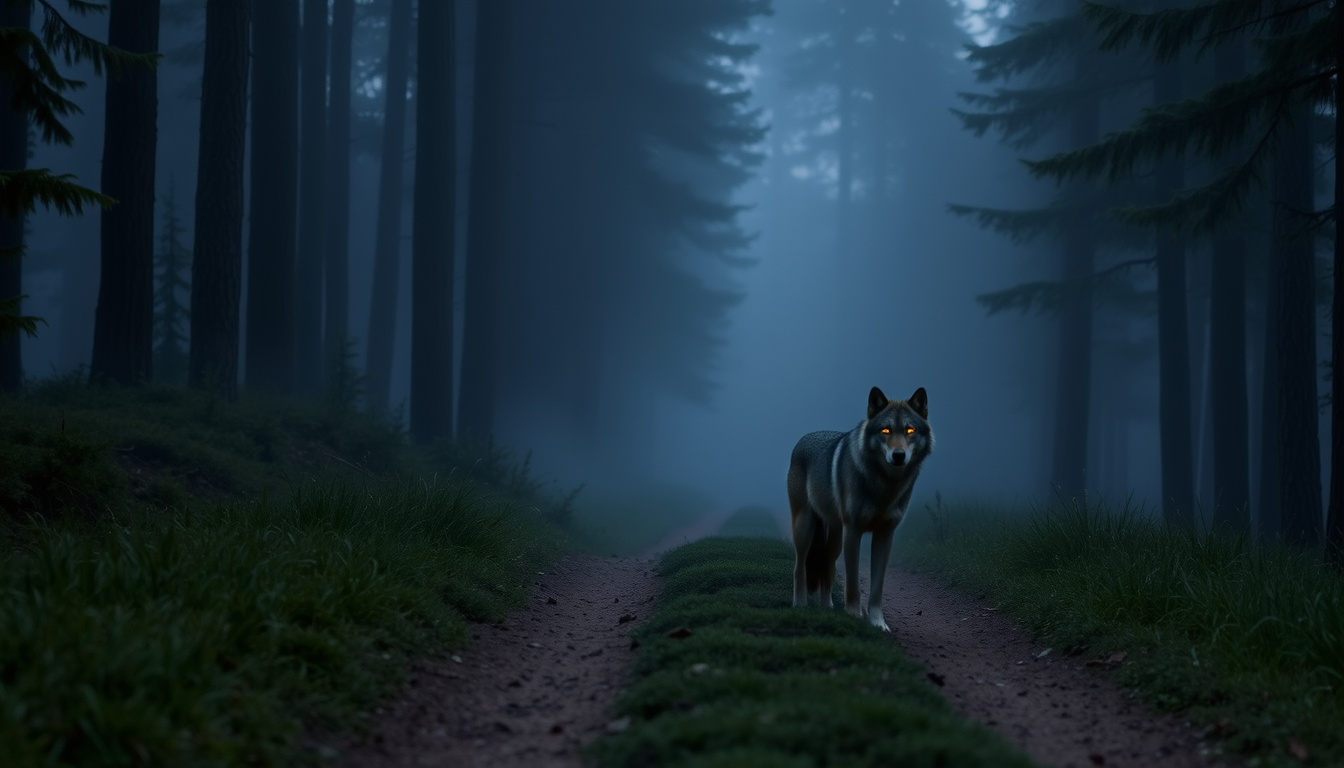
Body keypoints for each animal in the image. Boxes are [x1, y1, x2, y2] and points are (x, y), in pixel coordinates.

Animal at [787, 386, 933, 631]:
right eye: (886, 430)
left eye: (910, 430)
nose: (898, 455)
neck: (885, 486)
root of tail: (803, 439)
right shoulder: (853, 531)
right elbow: (853, 582)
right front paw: (854, 615)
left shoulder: (885, 535)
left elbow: (877, 588)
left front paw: (878, 623)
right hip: (805, 529)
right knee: (800, 569)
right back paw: (800, 606)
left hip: (835, 539)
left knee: (826, 567)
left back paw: (827, 608)